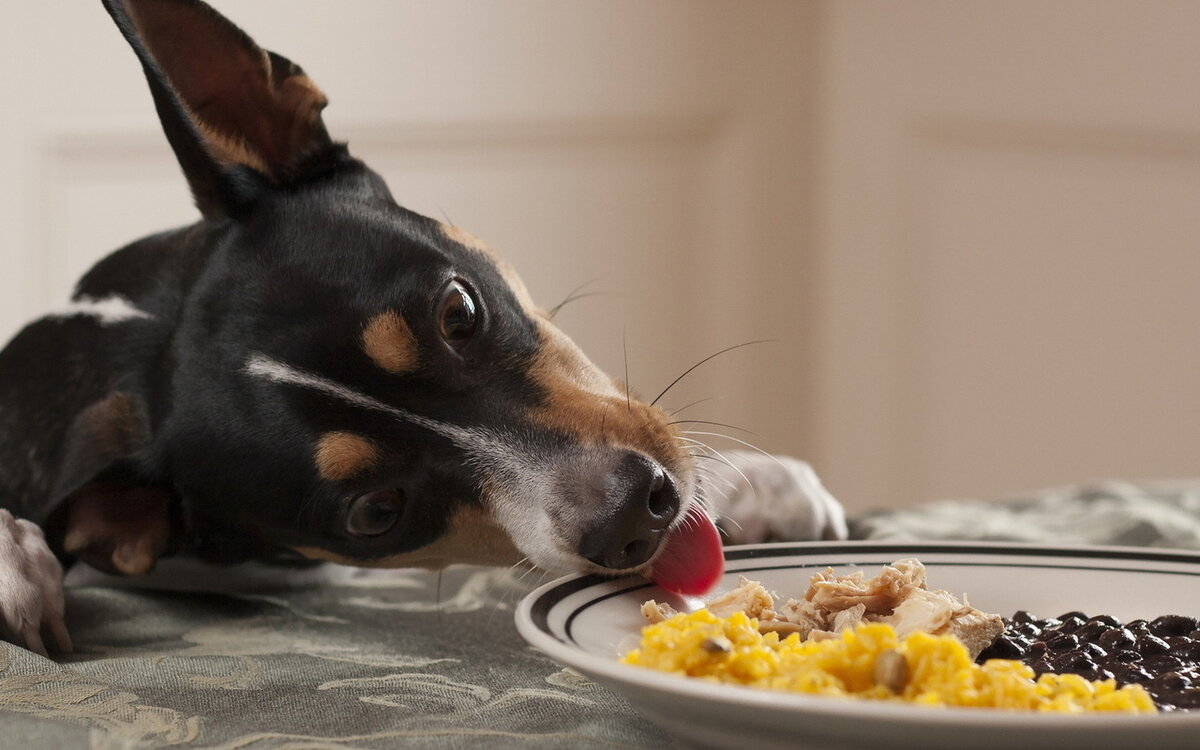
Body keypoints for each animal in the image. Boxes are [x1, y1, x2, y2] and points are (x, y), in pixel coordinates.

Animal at [0, 0, 844, 652]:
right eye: (377, 512)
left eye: (459, 311)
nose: (633, 513)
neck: (129, 335)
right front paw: (15, 565)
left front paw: (756, 486)